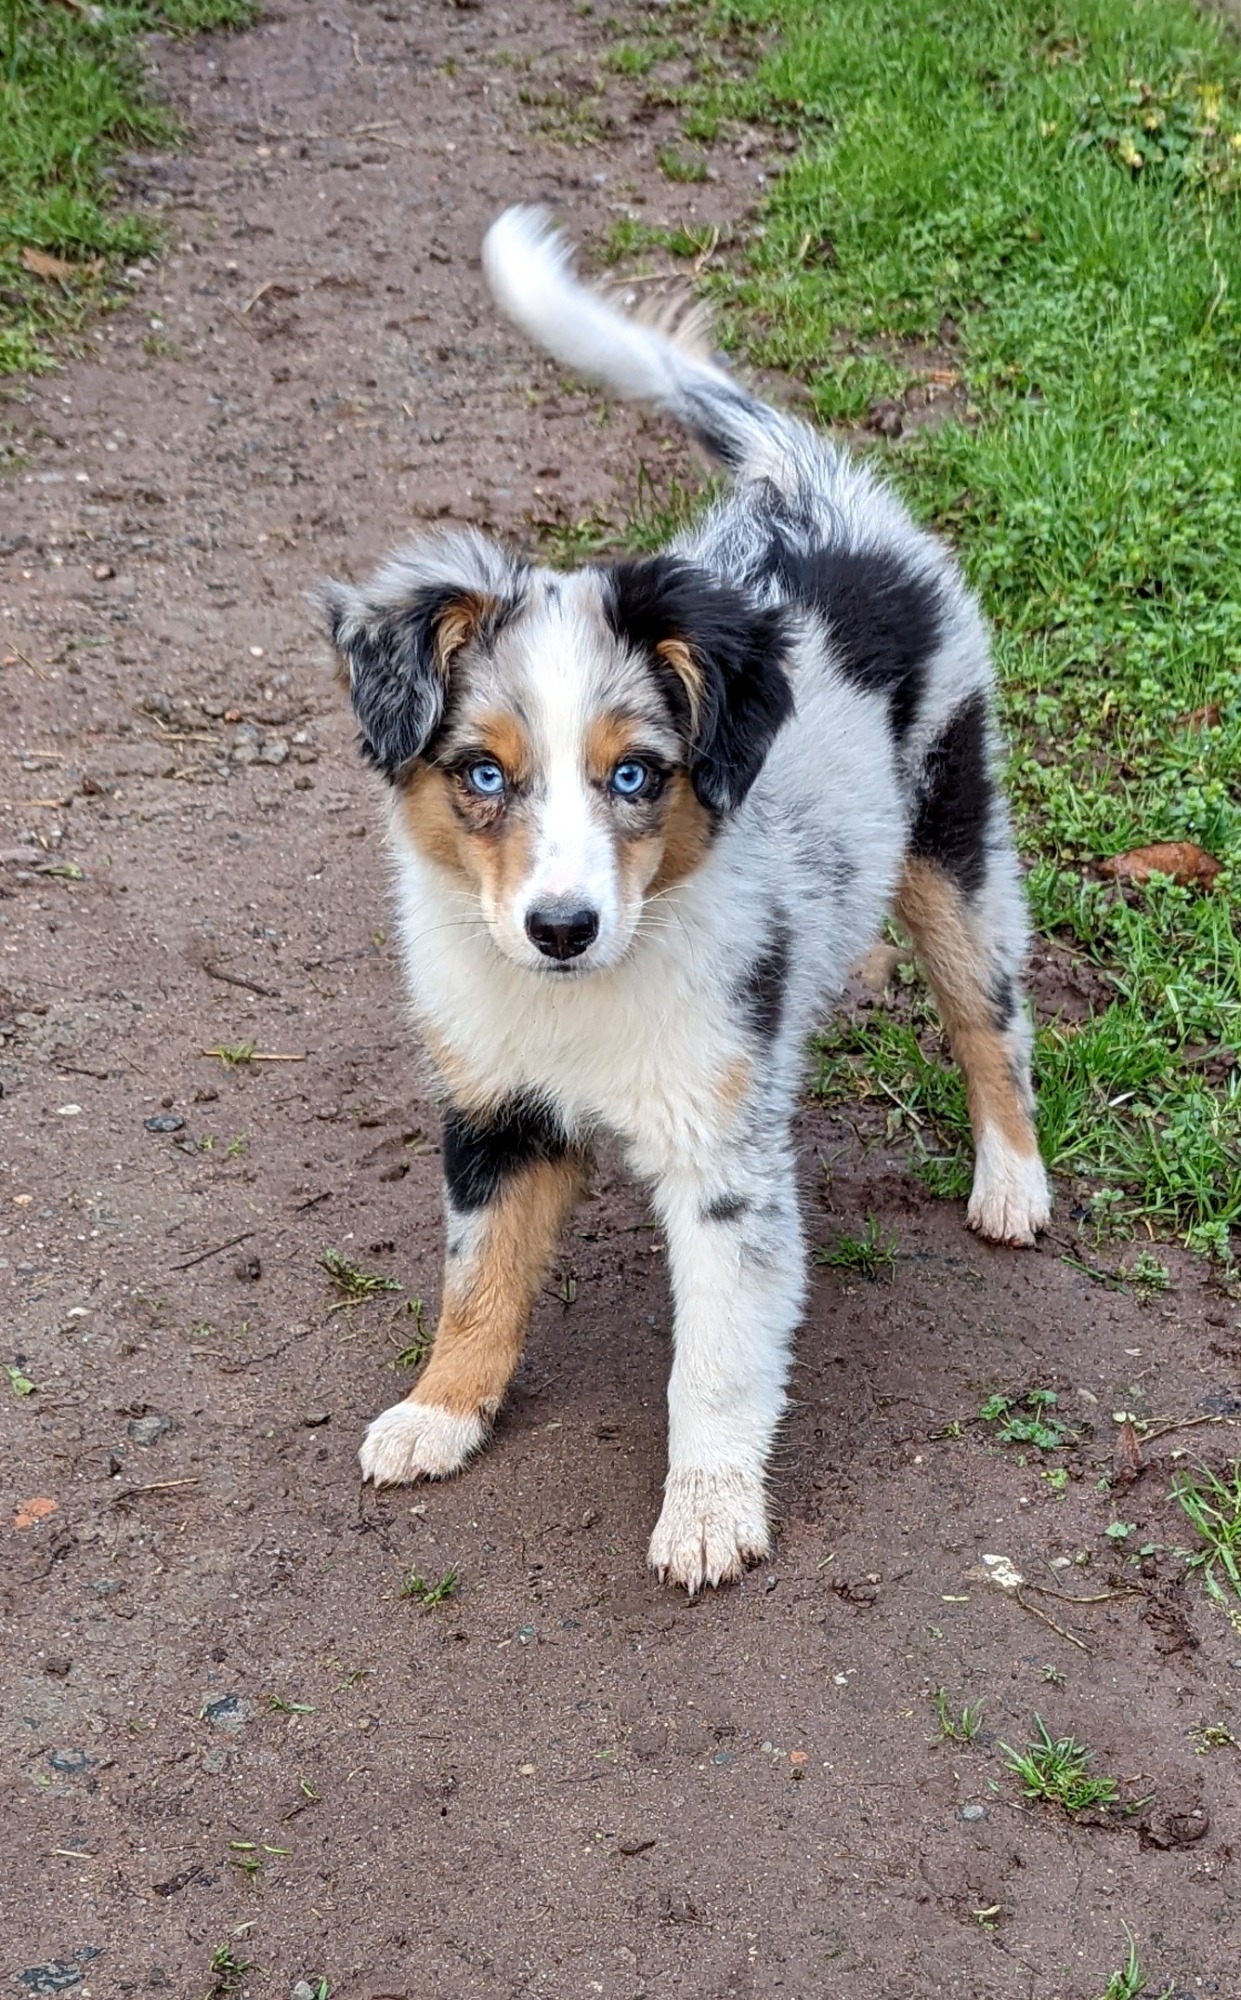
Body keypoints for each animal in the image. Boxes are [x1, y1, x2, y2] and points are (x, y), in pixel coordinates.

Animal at [321, 205, 1050, 1593]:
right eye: (482, 772)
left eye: (634, 774)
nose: (560, 927)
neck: (579, 997)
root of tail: (807, 483)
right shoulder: (492, 1105)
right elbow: (474, 1275)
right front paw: (438, 1410)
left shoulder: (722, 1163)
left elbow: (712, 1357)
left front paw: (708, 1511)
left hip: (954, 833)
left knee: (989, 1015)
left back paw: (1011, 1183)